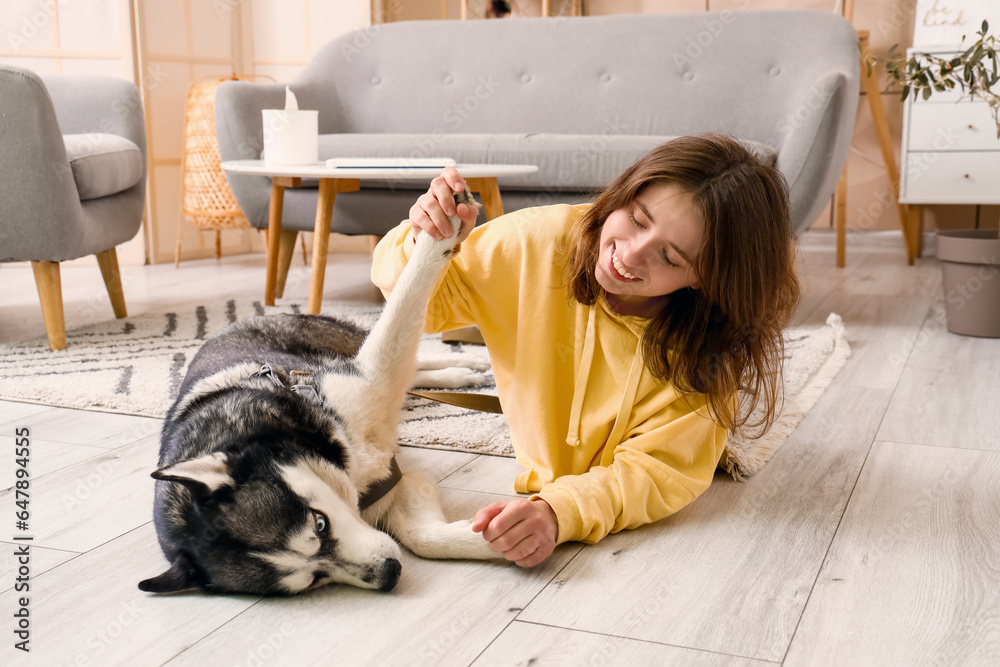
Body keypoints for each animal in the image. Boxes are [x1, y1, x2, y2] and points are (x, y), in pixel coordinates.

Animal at [141, 192, 500, 596]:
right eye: (313, 579)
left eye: (319, 523)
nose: (390, 573)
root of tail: (243, 319)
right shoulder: (392, 482)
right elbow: (422, 537)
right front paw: (498, 538)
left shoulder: (370, 377)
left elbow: (407, 294)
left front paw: (441, 228)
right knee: (414, 376)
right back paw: (459, 373)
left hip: (344, 345)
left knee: (413, 355)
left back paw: (465, 364)